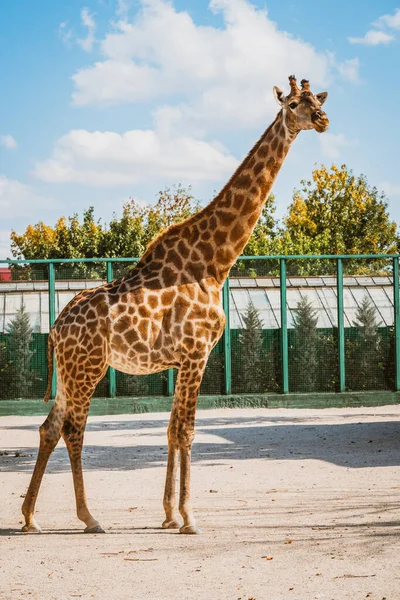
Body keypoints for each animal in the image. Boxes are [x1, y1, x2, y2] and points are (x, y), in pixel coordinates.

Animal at [21, 76, 328, 536]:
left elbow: (170, 429)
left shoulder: (183, 360)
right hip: (89, 368)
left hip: (70, 373)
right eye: (293, 104)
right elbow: (187, 431)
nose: (322, 119)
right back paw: (89, 517)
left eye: (316, 98)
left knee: (48, 428)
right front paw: (189, 517)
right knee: (74, 430)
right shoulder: (197, 353)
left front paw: (168, 514)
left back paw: (29, 517)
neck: (215, 262)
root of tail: (56, 330)